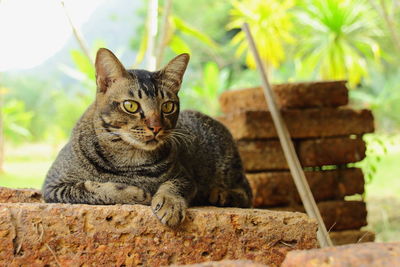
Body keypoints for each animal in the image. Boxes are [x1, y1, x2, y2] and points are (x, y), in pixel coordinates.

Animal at [42, 48, 252, 228]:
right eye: (131, 106)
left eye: (167, 106)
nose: (156, 127)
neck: (130, 161)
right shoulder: (53, 186)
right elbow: (94, 188)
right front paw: (135, 192)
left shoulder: (185, 176)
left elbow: (171, 186)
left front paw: (169, 203)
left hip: (228, 168)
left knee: (247, 193)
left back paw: (221, 194)